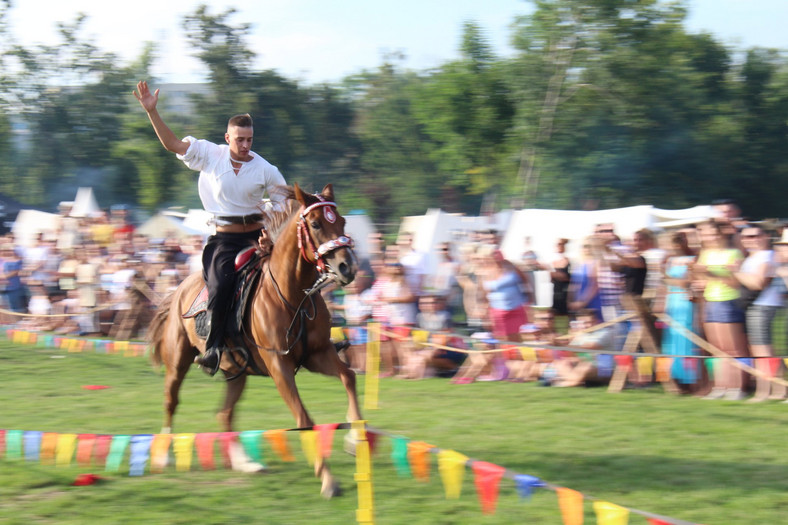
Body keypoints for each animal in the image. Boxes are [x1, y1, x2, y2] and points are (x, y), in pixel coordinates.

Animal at [149, 183, 364, 496]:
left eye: (343, 221)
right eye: (315, 224)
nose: (347, 267)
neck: (291, 295)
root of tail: (179, 288)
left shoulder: (318, 354)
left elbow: (349, 377)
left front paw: (354, 440)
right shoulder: (279, 367)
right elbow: (304, 419)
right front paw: (328, 479)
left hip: (236, 371)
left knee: (225, 414)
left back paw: (245, 463)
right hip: (178, 360)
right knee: (170, 400)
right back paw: (164, 455)